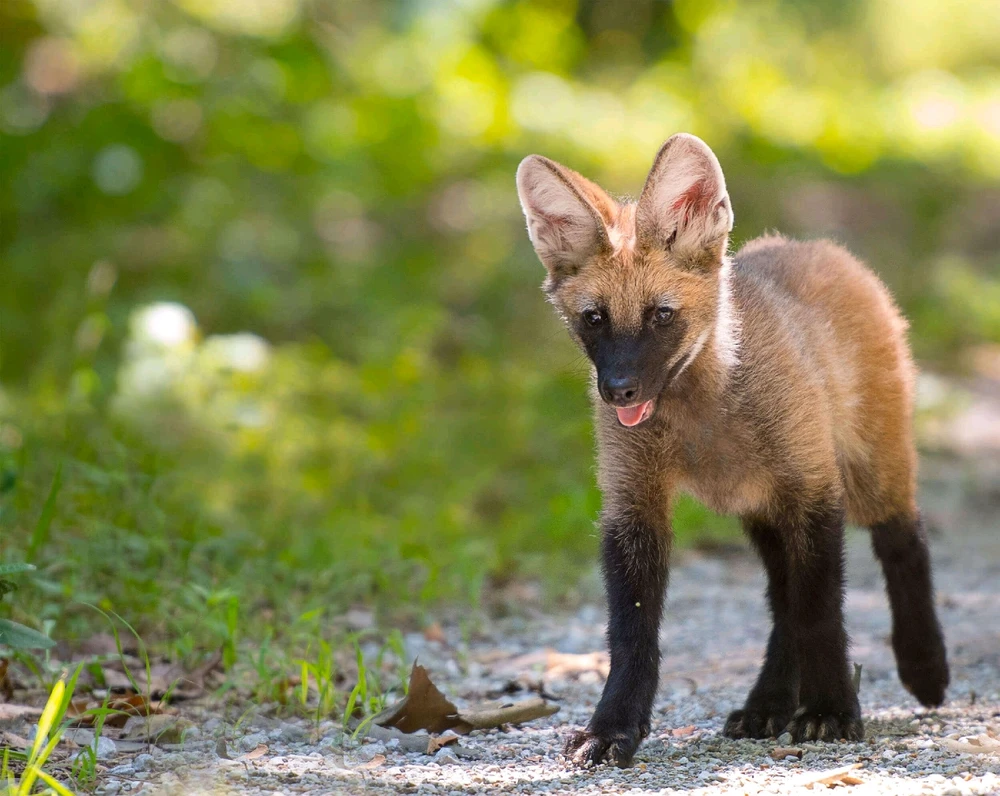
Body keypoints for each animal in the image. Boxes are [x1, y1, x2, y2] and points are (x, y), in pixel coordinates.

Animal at [515, 134, 949, 767]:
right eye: (594, 319)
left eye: (661, 314)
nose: (618, 390)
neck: (706, 424)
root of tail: (817, 246)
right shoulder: (634, 503)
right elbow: (633, 633)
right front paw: (612, 728)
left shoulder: (814, 488)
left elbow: (820, 612)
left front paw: (831, 711)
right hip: (761, 510)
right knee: (781, 598)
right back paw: (767, 704)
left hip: (866, 475)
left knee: (903, 539)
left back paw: (924, 666)